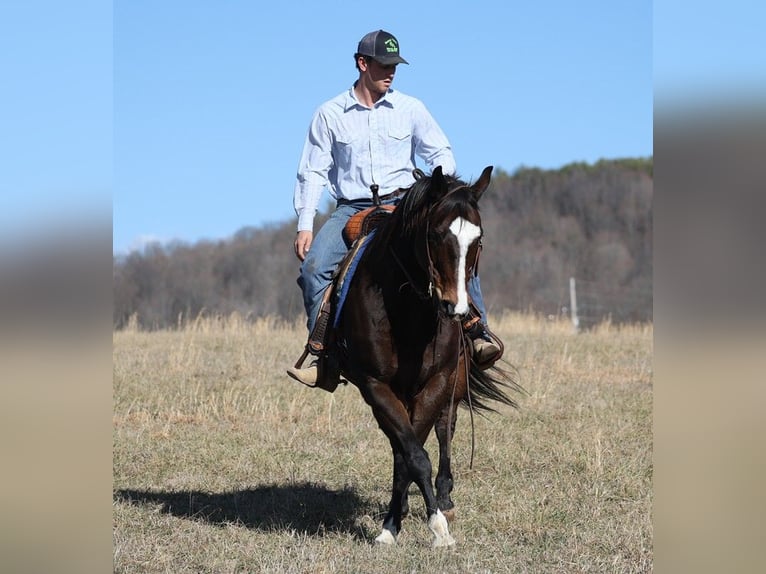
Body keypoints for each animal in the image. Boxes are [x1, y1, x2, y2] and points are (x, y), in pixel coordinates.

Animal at [330, 166, 520, 548]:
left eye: (478, 239)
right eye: (434, 234)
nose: (456, 308)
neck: (406, 313)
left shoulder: (437, 381)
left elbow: (416, 452)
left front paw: (435, 524)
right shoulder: (375, 386)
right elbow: (411, 452)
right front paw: (393, 525)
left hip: (454, 383)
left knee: (446, 429)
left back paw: (444, 498)